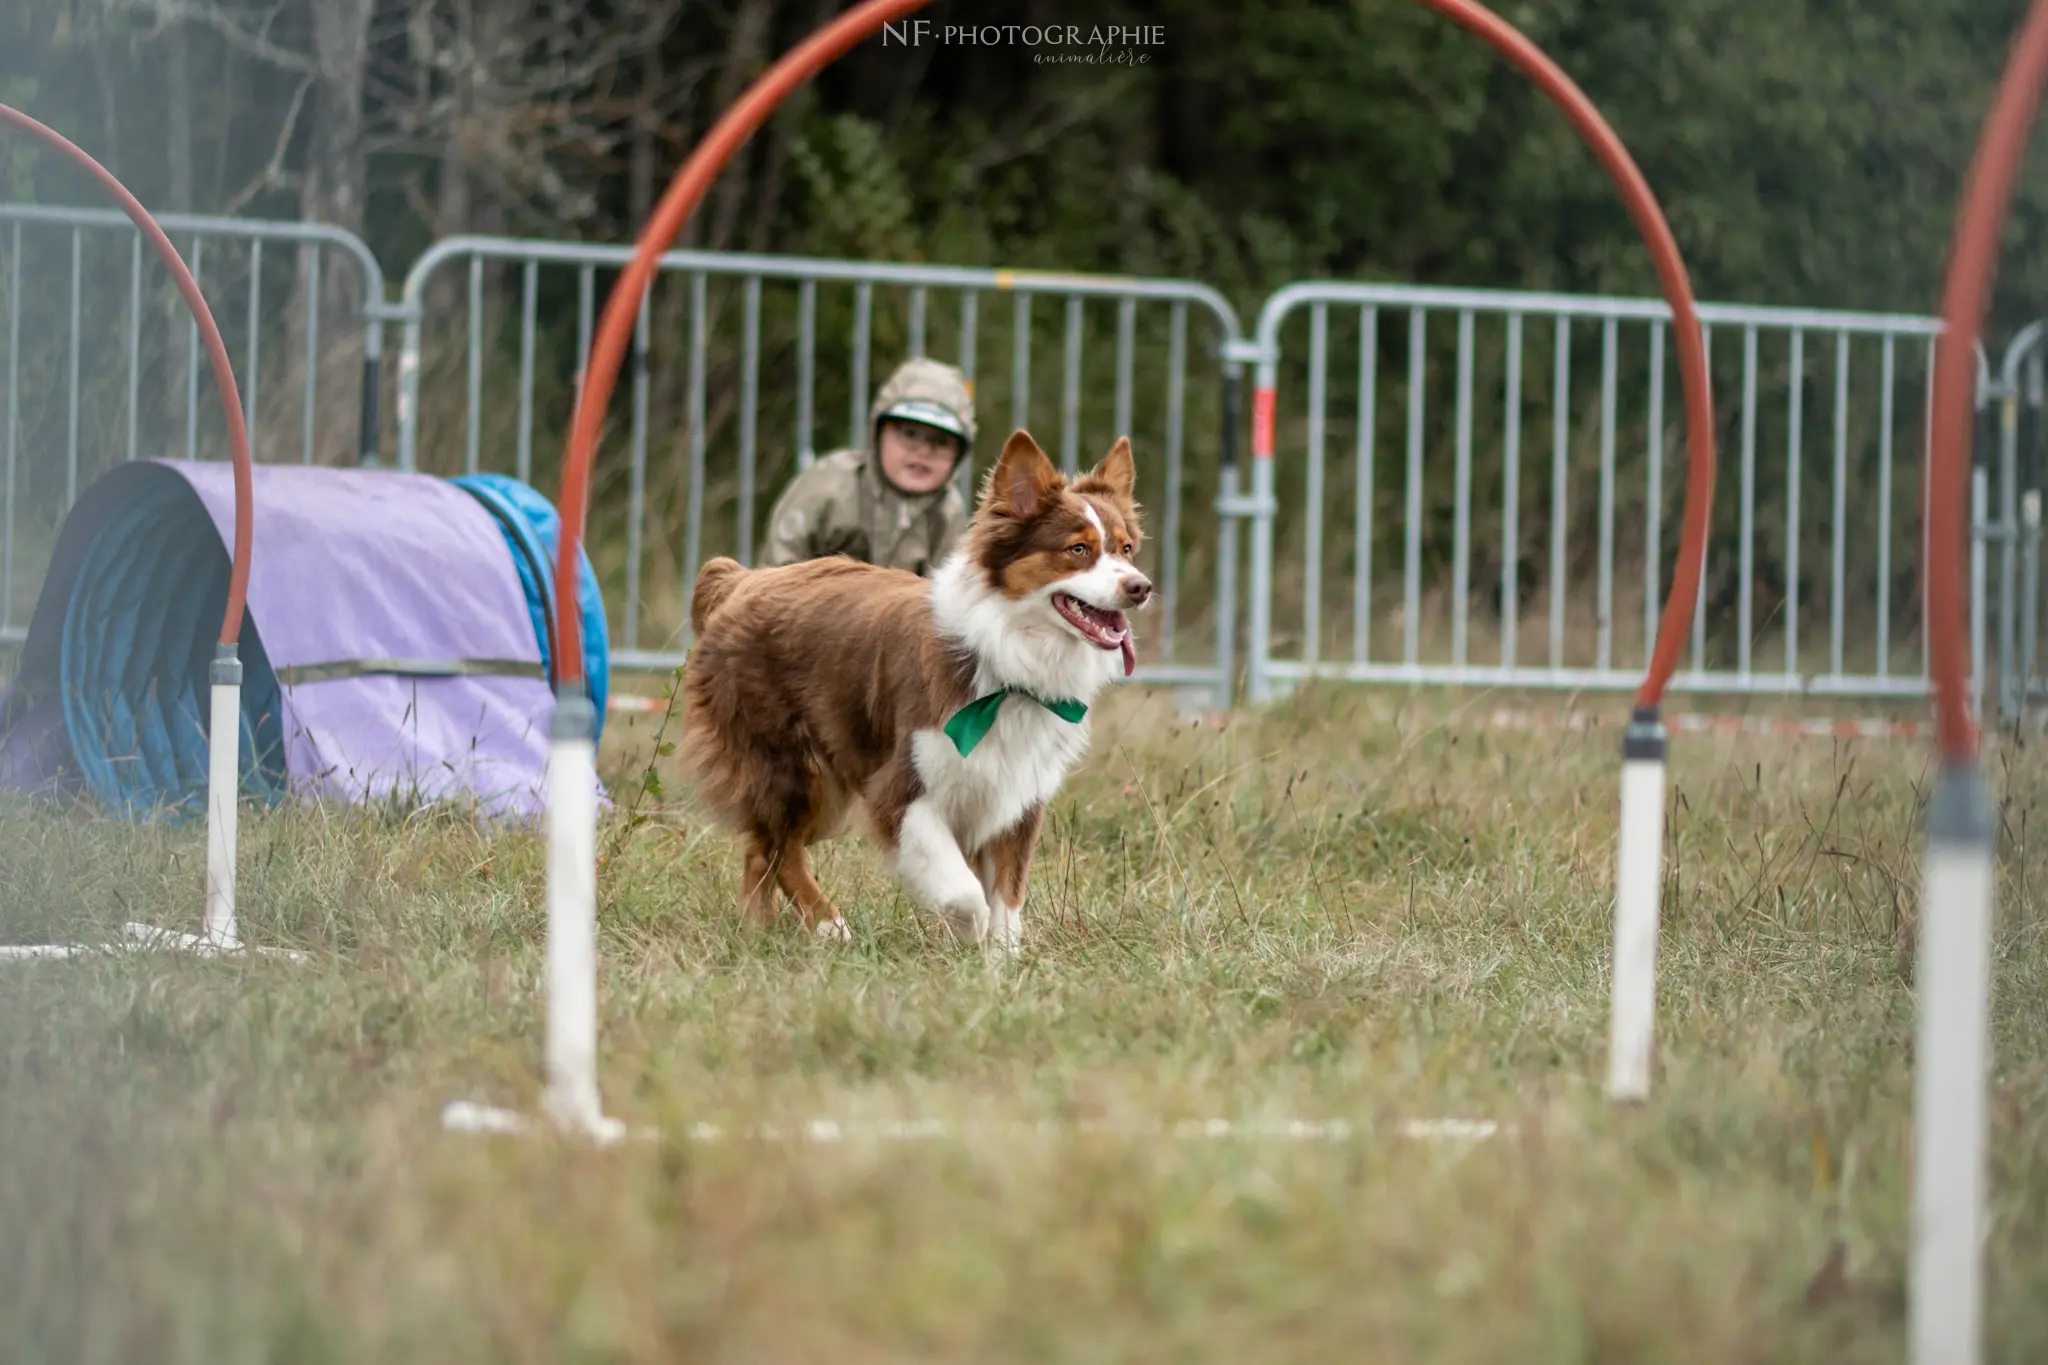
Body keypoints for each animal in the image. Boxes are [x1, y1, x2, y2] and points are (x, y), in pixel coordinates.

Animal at [675, 431, 1146, 957]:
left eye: (1126, 549)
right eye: (1078, 549)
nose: (1141, 587)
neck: (1005, 660)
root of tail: (743, 579)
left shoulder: (1017, 797)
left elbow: (1008, 899)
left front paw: (1000, 964)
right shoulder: (902, 790)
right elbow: (966, 894)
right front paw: (967, 935)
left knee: (759, 849)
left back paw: (759, 933)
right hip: (789, 764)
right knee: (779, 848)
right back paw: (830, 926)